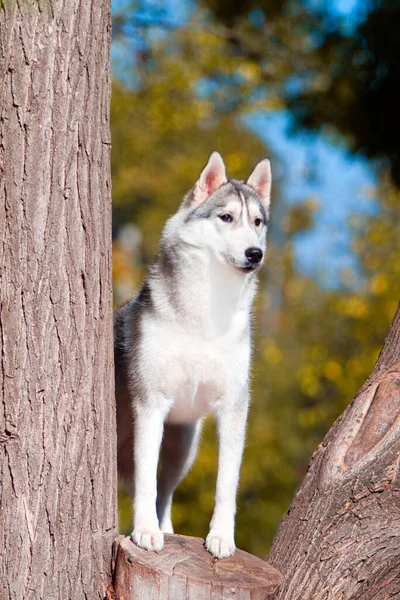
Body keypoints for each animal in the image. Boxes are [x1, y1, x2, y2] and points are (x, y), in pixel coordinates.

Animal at [115, 150, 272, 556]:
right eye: (226, 217)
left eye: (258, 222)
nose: (255, 253)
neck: (206, 315)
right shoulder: (150, 405)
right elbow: (145, 482)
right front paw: (145, 531)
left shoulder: (234, 409)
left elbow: (226, 485)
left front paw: (221, 537)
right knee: (147, 483)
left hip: (182, 448)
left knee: (166, 491)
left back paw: (168, 528)